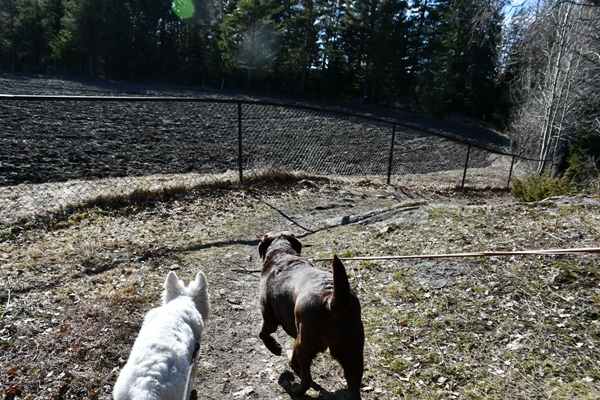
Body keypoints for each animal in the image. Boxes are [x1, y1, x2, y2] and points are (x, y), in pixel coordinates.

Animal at [256, 230, 364, 398]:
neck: (281, 252)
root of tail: (332, 300)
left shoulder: (269, 318)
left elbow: (262, 333)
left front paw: (275, 348)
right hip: (353, 353)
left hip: (306, 346)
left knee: (307, 379)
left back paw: (295, 389)